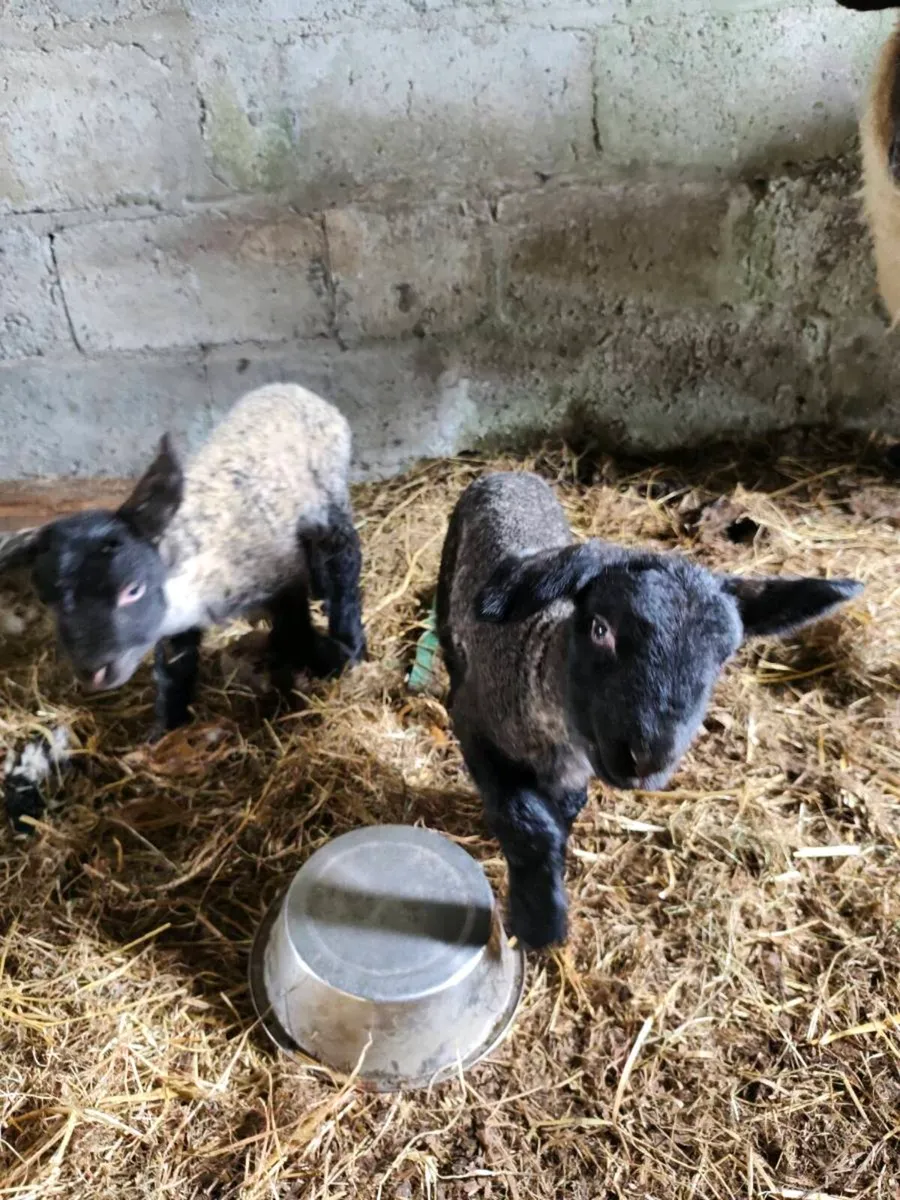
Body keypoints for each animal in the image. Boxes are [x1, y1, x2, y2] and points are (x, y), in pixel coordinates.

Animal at [11, 383, 366, 737]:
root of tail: (291, 388)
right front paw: (168, 726)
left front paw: (340, 658)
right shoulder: (175, 624)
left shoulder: (281, 578)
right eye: (47, 600)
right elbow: (174, 669)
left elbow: (296, 630)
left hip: (330, 496)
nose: (93, 672)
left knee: (344, 559)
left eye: (133, 589)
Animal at [436, 471, 864, 950]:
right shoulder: (473, 723)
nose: (647, 757)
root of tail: (510, 474)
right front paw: (540, 920)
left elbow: (561, 811)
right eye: (600, 629)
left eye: (724, 656)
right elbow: (527, 823)